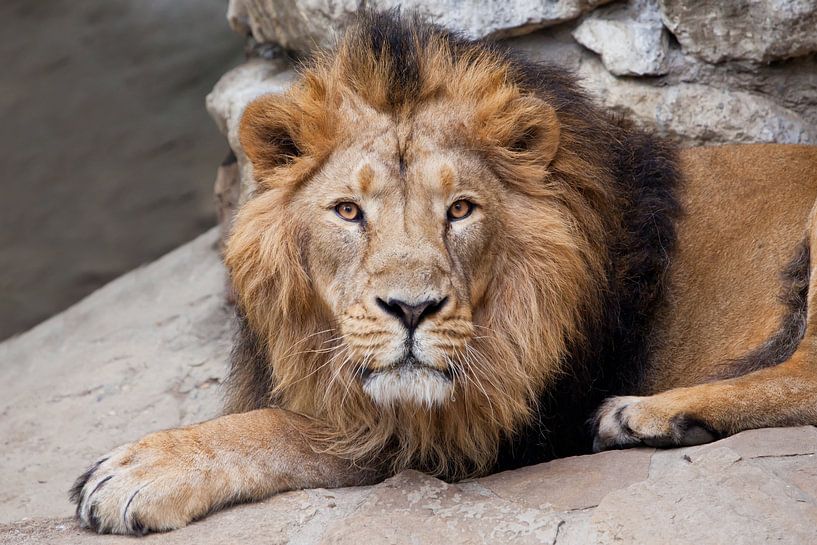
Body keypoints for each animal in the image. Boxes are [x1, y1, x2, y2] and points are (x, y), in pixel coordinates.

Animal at [71, 11, 817, 534]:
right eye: (348, 211)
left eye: (459, 209)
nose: (411, 309)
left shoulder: (492, 429)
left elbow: (285, 427)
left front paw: (144, 468)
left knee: (802, 377)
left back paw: (646, 414)